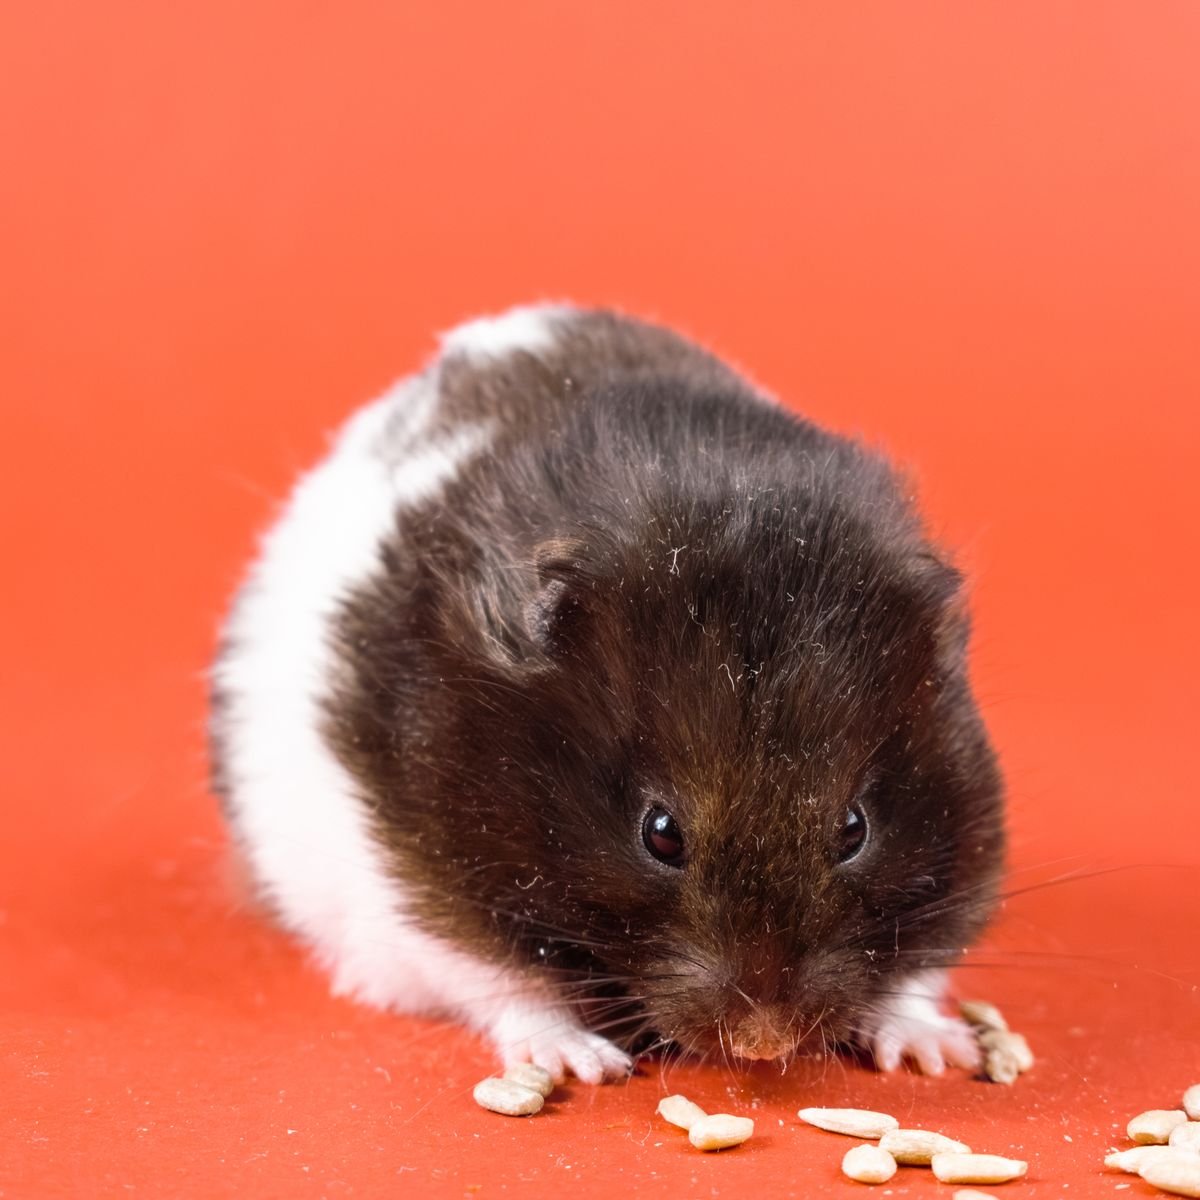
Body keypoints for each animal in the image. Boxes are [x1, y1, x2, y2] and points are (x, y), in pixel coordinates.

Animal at [210, 304, 1005, 1084]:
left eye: (853, 829)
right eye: (661, 833)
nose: (764, 1042)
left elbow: (917, 973)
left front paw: (938, 1053)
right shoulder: (424, 889)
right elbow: (507, 982)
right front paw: (581, 1064)